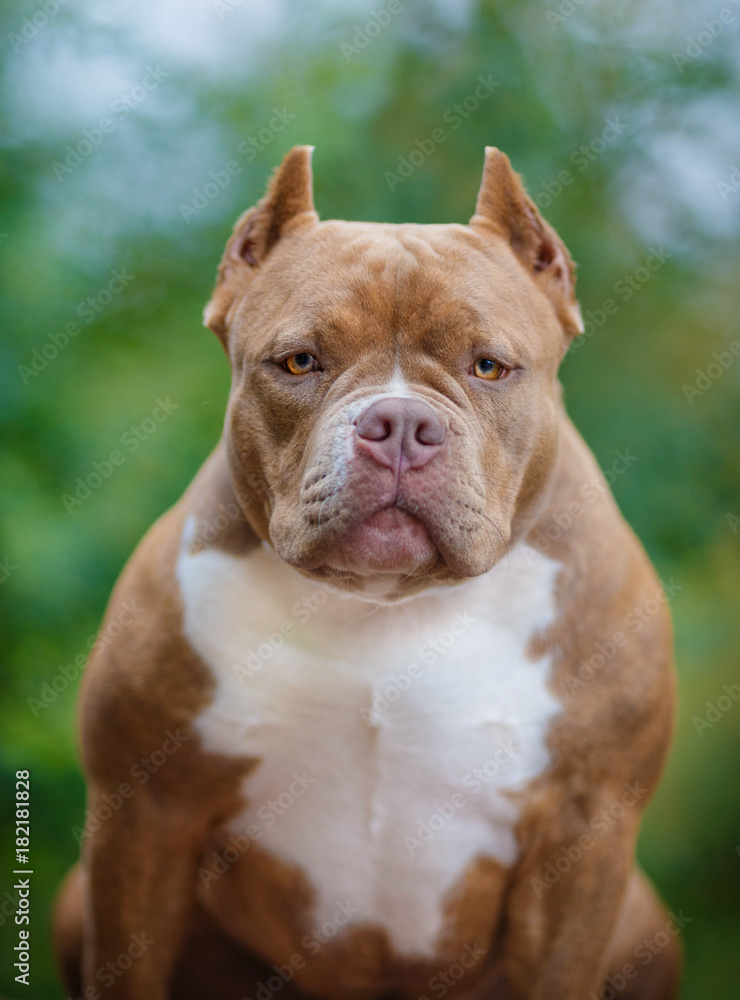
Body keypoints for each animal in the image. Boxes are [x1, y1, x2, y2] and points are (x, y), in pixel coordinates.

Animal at [55, 148, 680, 1000]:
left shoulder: (582, 838)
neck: (388, 609)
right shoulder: (141, 819)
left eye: (489, 366)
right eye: (298, 362)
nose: (401, 424)